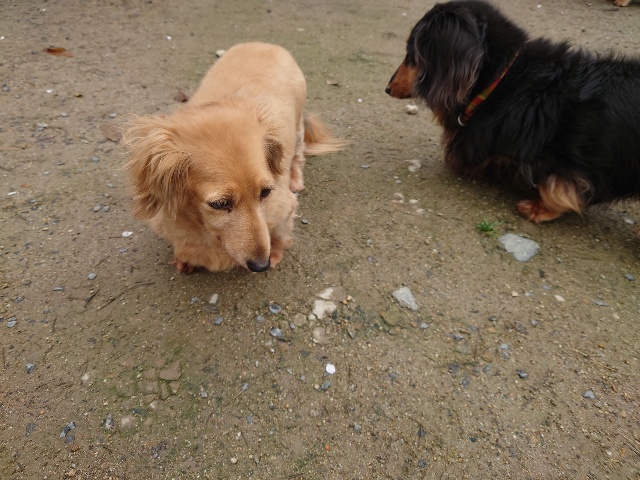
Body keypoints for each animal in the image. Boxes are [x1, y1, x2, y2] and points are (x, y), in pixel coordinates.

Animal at [125, 42, 344, 273]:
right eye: (220, 203)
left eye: (266, 192)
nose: (261, 265)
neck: (207, 230)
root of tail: (266, 44)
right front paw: (184, 258)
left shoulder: (284, 207)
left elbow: (279, 232)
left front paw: (276, 251)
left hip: (298, 128)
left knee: (297, 156)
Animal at [386, 1, 640, 225]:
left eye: (412, 53)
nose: (387, 88)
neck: (503, 79)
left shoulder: (566, 158)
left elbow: (557, 186)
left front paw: (539, 208)